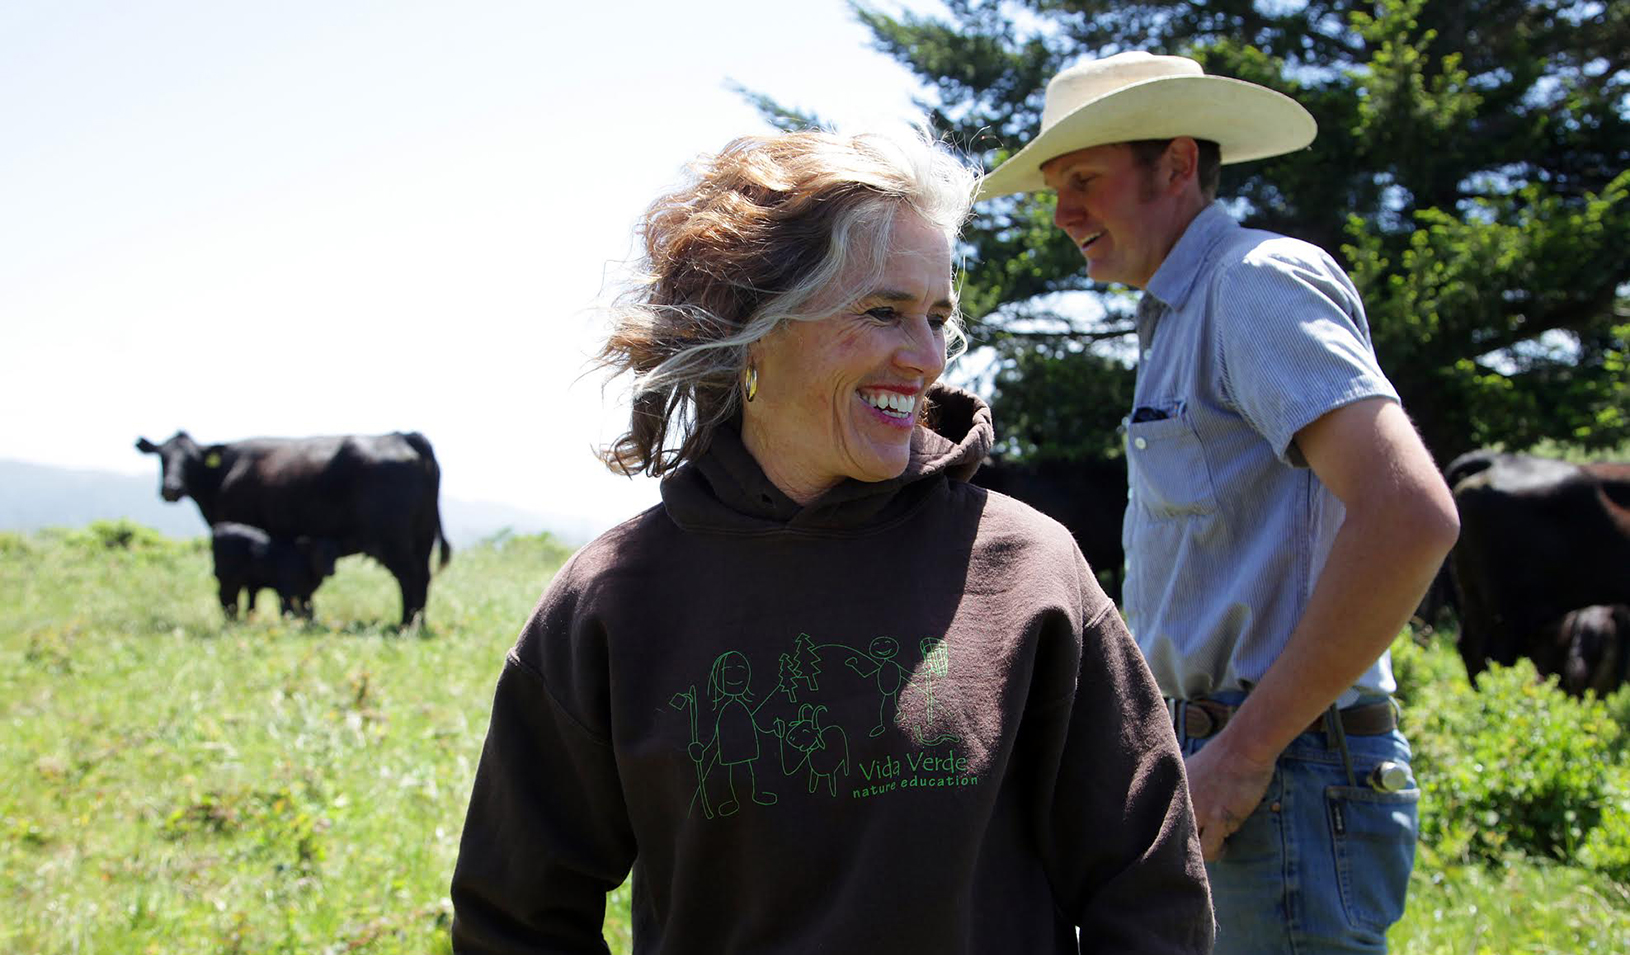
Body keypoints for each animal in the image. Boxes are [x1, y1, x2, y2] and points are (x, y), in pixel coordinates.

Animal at [210, 521, 340, 616]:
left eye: (335, 556)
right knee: (226, 597)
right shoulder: (286, 589)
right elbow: (287, 609)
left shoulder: (306, 593)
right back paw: (231, 617)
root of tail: (221, 527)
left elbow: (309, 610)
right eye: (319, 554)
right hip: (228, 579)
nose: (331, 571)